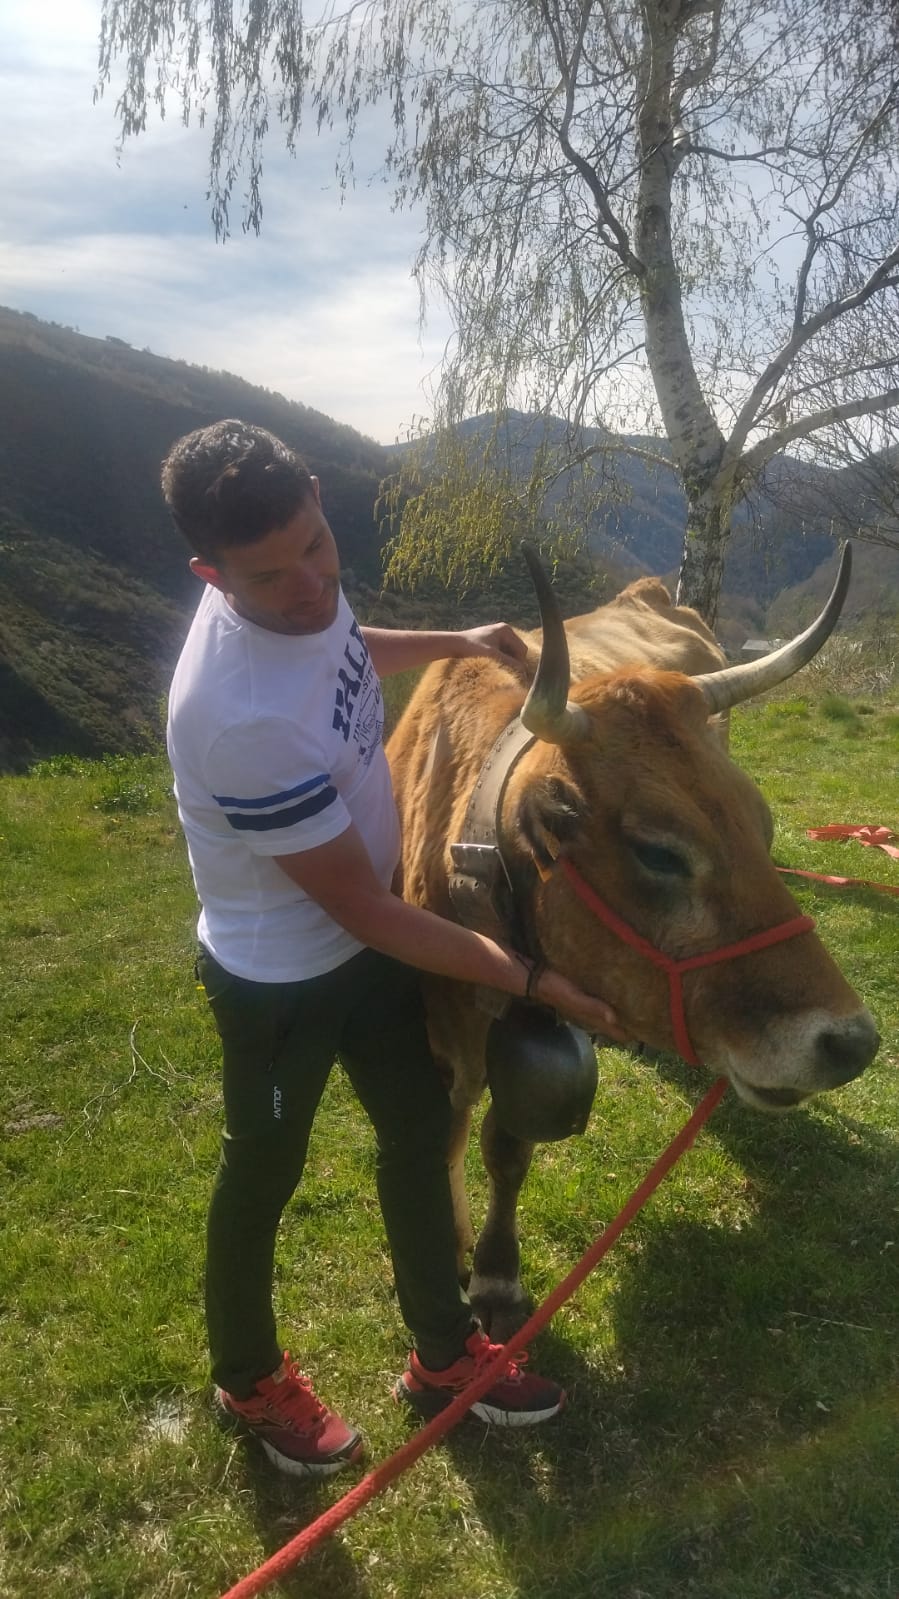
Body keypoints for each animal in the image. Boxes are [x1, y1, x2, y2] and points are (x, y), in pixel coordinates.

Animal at [385, 550, 876, 1336]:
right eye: (658, 852)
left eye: (763, 826)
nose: (851, 1042)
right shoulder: (436, 1019)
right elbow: (446, 1127)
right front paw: (452, 1245)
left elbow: (506, 1146)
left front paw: (494, 1275)